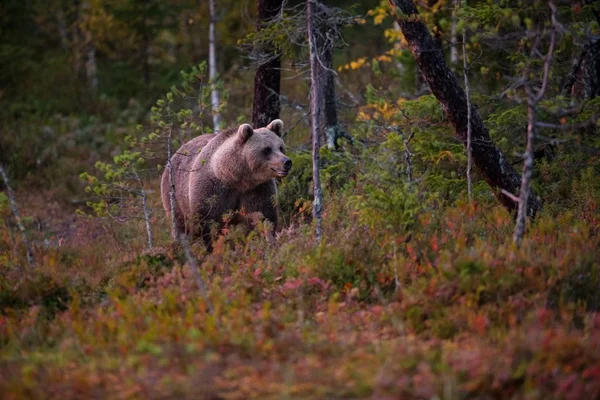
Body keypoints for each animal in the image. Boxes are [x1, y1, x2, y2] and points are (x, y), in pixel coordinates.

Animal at [158, 119, 292, 244]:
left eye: (281, 147)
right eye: (267, 150)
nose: (287, 162)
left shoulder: (257, 189)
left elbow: (265, 215)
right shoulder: (212, 191)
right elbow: (207, 224)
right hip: (175, 196)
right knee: (181, 225)